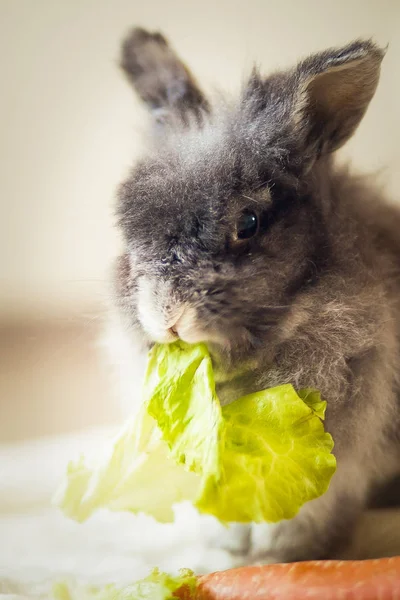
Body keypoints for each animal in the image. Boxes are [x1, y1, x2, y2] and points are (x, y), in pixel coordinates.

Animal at [109, 28, 400, 564]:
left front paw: (277, 560)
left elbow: (291, 521)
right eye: (128, 224)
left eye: (248, 223)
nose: (167, 316)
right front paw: (229, 550)